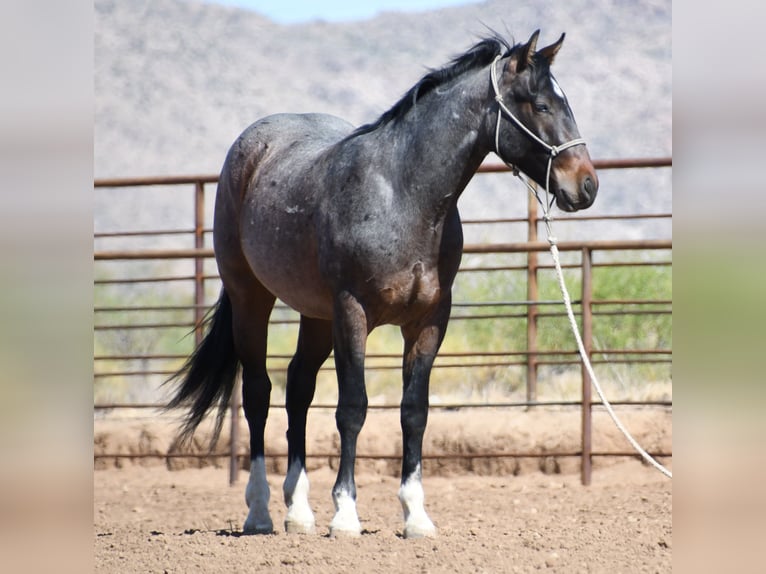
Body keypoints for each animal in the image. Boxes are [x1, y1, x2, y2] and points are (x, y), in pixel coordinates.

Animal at [166, 30, 598, 539]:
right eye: (540, 104)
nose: (587, 185)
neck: (402, 195)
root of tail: (251, 146)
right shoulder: (353, 312)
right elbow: (353, 407)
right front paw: (346, 514)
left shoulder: (429, 321)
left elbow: (414, 412)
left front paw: (415, 516)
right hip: (252, 297)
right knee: (258, 393)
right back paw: (260, 512)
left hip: (316, 315)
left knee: (298, 389)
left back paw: (299, 511)